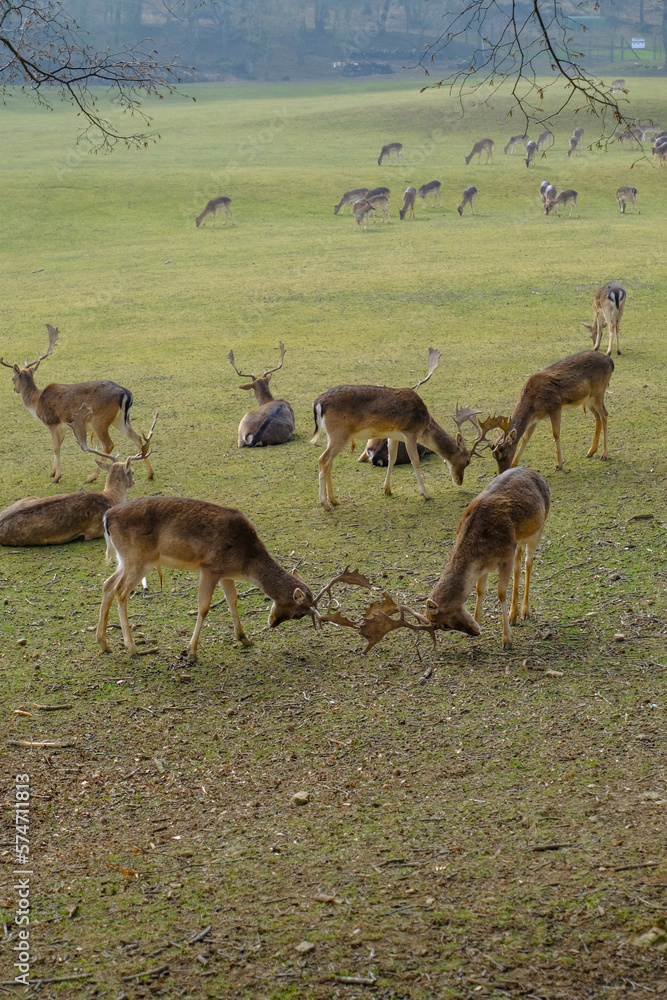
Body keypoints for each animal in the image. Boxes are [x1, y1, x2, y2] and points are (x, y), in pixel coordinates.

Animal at [0, 324, 155, 483]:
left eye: (12, 378)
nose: (15, 389)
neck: (37, 402)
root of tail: (126, 393)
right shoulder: (63, 428)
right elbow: (59, 445)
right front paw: (52, 472)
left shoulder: (52, 422)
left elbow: (56, 447)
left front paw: (57, 477)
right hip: (120, 420)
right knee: (137, 438)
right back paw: (150, 474)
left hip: (99, 421)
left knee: (108, 445)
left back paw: (92, 476)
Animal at [310, 350, 486, 509]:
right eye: (468, 460)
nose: (459, 481)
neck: (424, 424)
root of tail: (318, 403)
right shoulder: (410, 433)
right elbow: (415, 461)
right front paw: (426, 494)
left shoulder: (393, 435)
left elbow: (392, 458)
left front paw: (387, 490)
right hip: (339, 434)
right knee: (323, 460)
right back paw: (325, 504)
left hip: (332, 436)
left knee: (328, 462)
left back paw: (334, 500)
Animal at [424, 467, 550, 650]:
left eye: (445, 625)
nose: (474, 632)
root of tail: (534, 471)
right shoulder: (485, 565)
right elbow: (479, 589)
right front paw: (478, 619)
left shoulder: (506, 556)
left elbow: (501, 593)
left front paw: (507, 640)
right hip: (517, 542)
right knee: (518, 567)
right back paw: (513, 615)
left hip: (537, 531)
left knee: (528, 563)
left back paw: (525, 612)